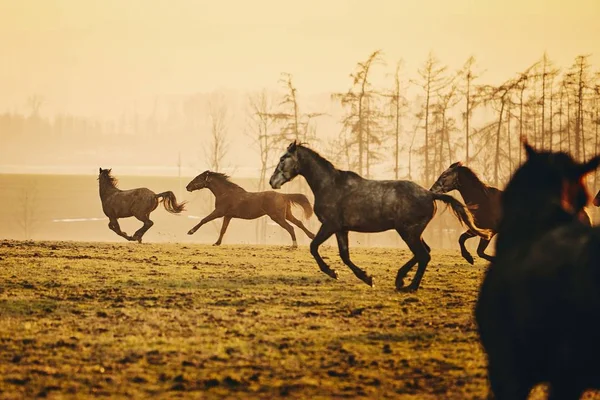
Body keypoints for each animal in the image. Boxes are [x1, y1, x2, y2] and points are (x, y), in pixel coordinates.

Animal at [185, 170, 314, 247]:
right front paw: (217, 243)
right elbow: (223, 229)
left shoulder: (219, 212)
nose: (187, 187)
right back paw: (311, 236)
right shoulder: (228, 216)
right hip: (287, 215)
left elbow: (204, 220)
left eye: (198, 178)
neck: (225, 193)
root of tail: (283, 196)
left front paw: (190, 231)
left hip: (277, 217)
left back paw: (294, 245)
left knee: (291, 227)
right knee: (299, 223)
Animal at [268, 142, 492, 292]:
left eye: (282, 158)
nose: (272, 181)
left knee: (423, 255)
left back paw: (409, 286)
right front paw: (366, 277)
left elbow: (314, 247)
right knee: (424, 253)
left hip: (408, 232)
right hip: (413, 232)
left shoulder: (330, 225)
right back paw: (401, 279)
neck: (330, 185)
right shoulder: (341, 229)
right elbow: (344, 255)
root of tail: (430, 195)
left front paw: (334, 272)